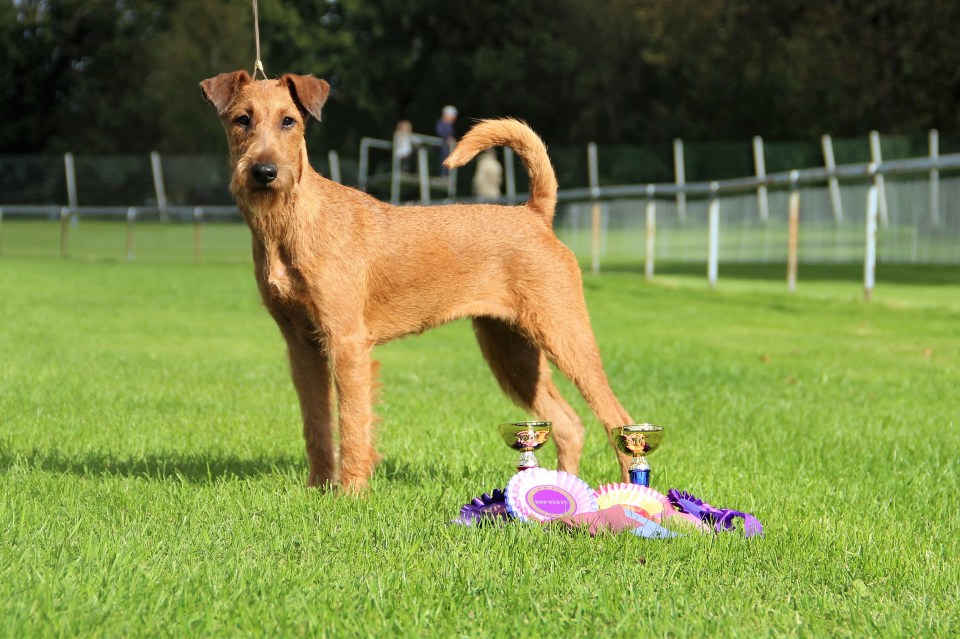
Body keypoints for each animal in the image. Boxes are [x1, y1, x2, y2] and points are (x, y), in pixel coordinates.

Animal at [200, 70, 635, 491]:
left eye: (288, 121)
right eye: (242, 119)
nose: (264, 172)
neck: (291, 223)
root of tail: (534, 214)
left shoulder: (346, 342)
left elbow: (352, 425)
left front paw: (350, 494)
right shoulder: (302, 346)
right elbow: (317, 426)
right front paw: (317, 490)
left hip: (565, 334)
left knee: (617, 420)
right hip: (512, 352)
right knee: (569, 424)